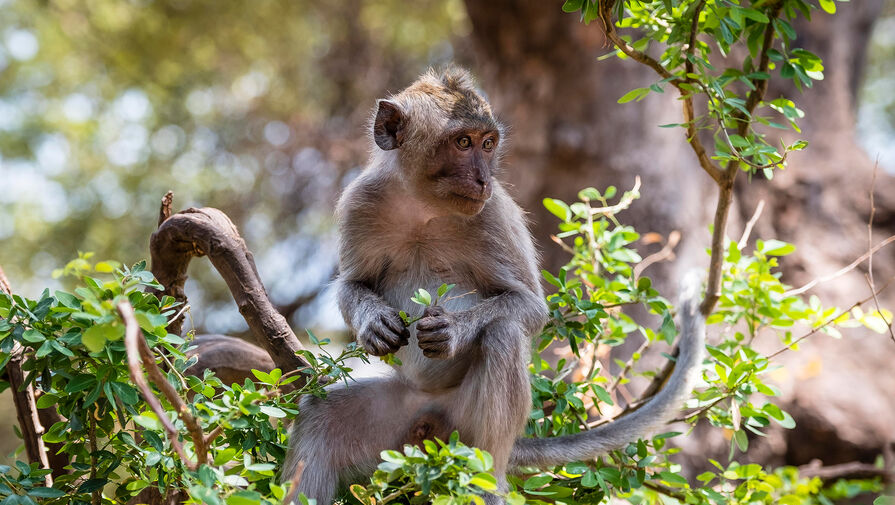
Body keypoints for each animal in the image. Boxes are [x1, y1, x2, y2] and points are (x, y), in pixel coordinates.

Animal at [288, 68, 708, 504]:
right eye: (463, 142)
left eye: (487, 144)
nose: (482, 178)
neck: (424, 207)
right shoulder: (362, 201)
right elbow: (353, 283)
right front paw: (374, 324)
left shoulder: (493, 213)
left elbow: (528, 306)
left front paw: (453, 330)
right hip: (398, 419)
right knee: (319, 418)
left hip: (465, 426)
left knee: (503, 335)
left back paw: (483, 480)